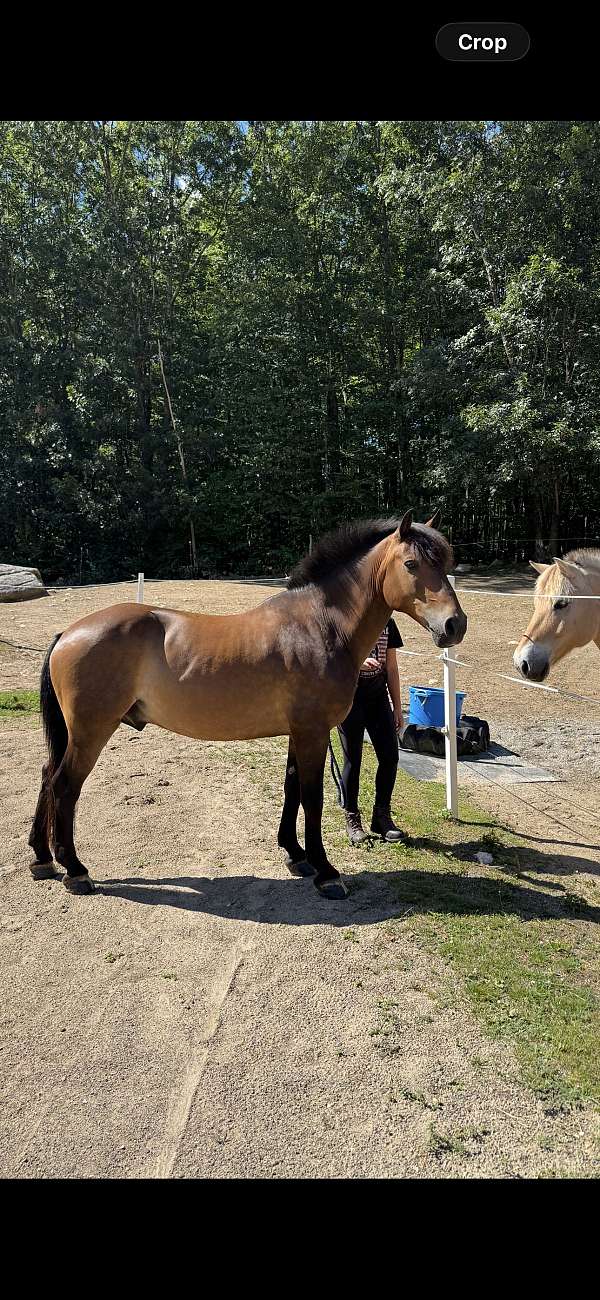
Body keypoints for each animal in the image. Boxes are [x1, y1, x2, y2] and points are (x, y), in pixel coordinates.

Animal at [28, 510, 467, 901]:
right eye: (411, 564)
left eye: (446, 564)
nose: (454, 625)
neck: (319, 626)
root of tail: (69, 632)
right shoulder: (312, 732)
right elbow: (313, 797)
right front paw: (325, 872)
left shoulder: (298, 732)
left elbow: (292, 788)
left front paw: (295, 854)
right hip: (91, 731)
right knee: (64, 785)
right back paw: (76, 871)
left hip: (75, 733)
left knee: (48, 777)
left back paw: (42, 859)